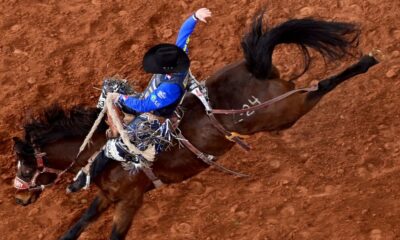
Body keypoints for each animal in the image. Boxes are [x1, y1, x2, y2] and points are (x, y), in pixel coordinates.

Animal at [14, 13, 380, 240]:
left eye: (26, 166)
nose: (19, 199)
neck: (104, 156)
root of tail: (256, 69)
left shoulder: (131, 200)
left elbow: (114, 233)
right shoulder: (107, 196)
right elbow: (77, 226)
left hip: (285, 113)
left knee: (320, 87)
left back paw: (366, 62)